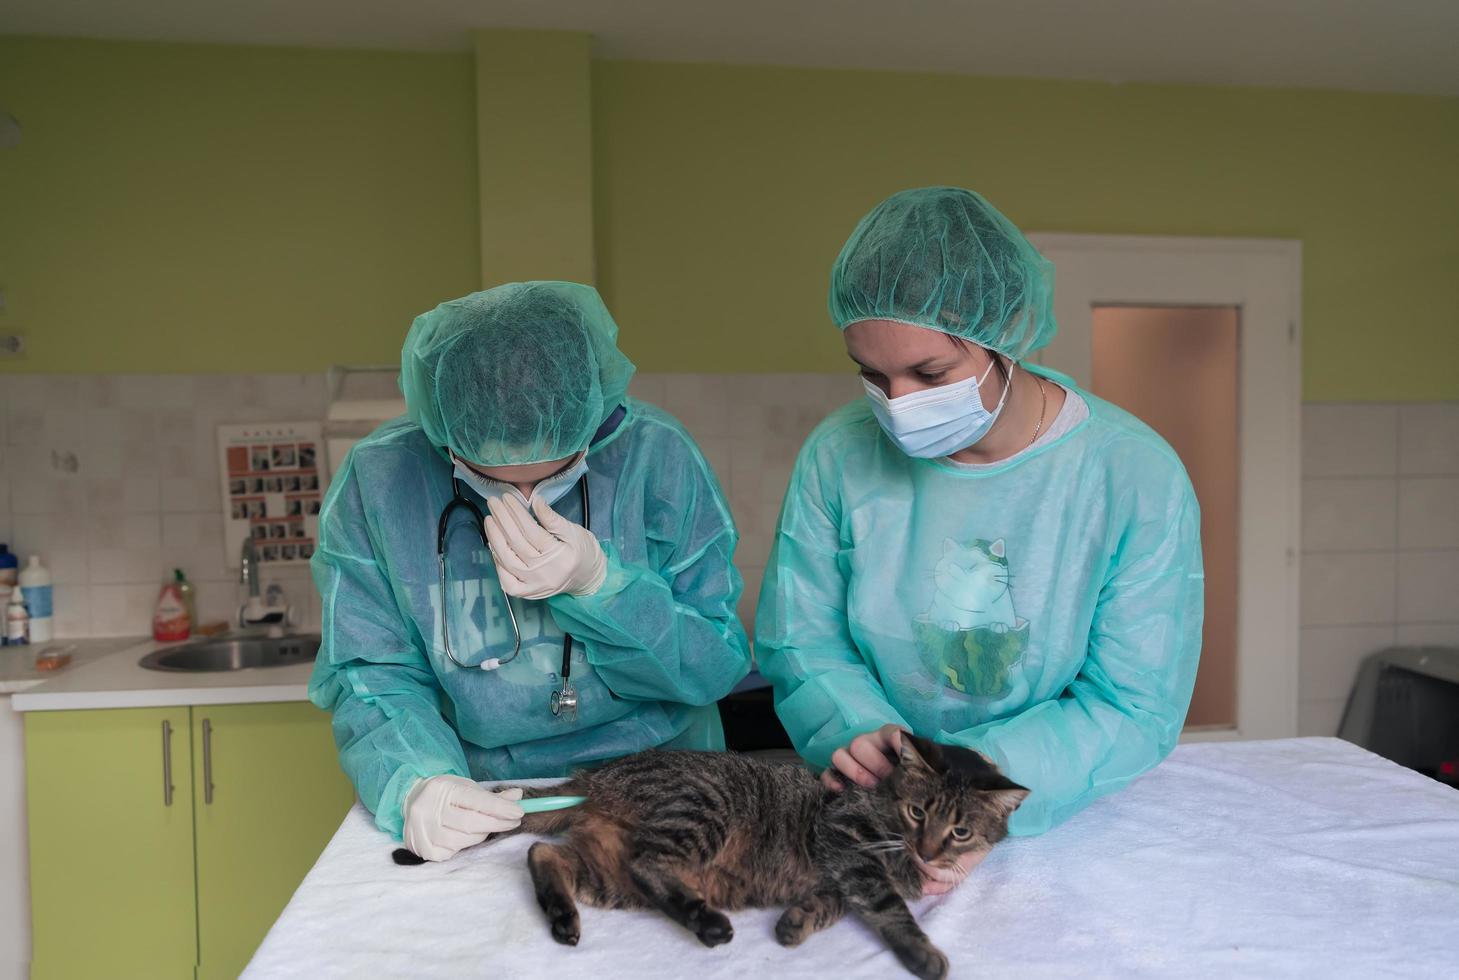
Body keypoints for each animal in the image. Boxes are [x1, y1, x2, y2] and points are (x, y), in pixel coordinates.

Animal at [393, 732, 1021, 974]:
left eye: (961, 833)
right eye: (918, 814)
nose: (930, 849)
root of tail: (593, 778)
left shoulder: (841, 880)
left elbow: (827, 905)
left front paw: (794, 924)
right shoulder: (848, 845)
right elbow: (893, 909)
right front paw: (924, 952)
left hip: (607, 871)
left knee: (545, 855)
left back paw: (566, 916)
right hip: (701, 812)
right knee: (649, 864)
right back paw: (708, 922)